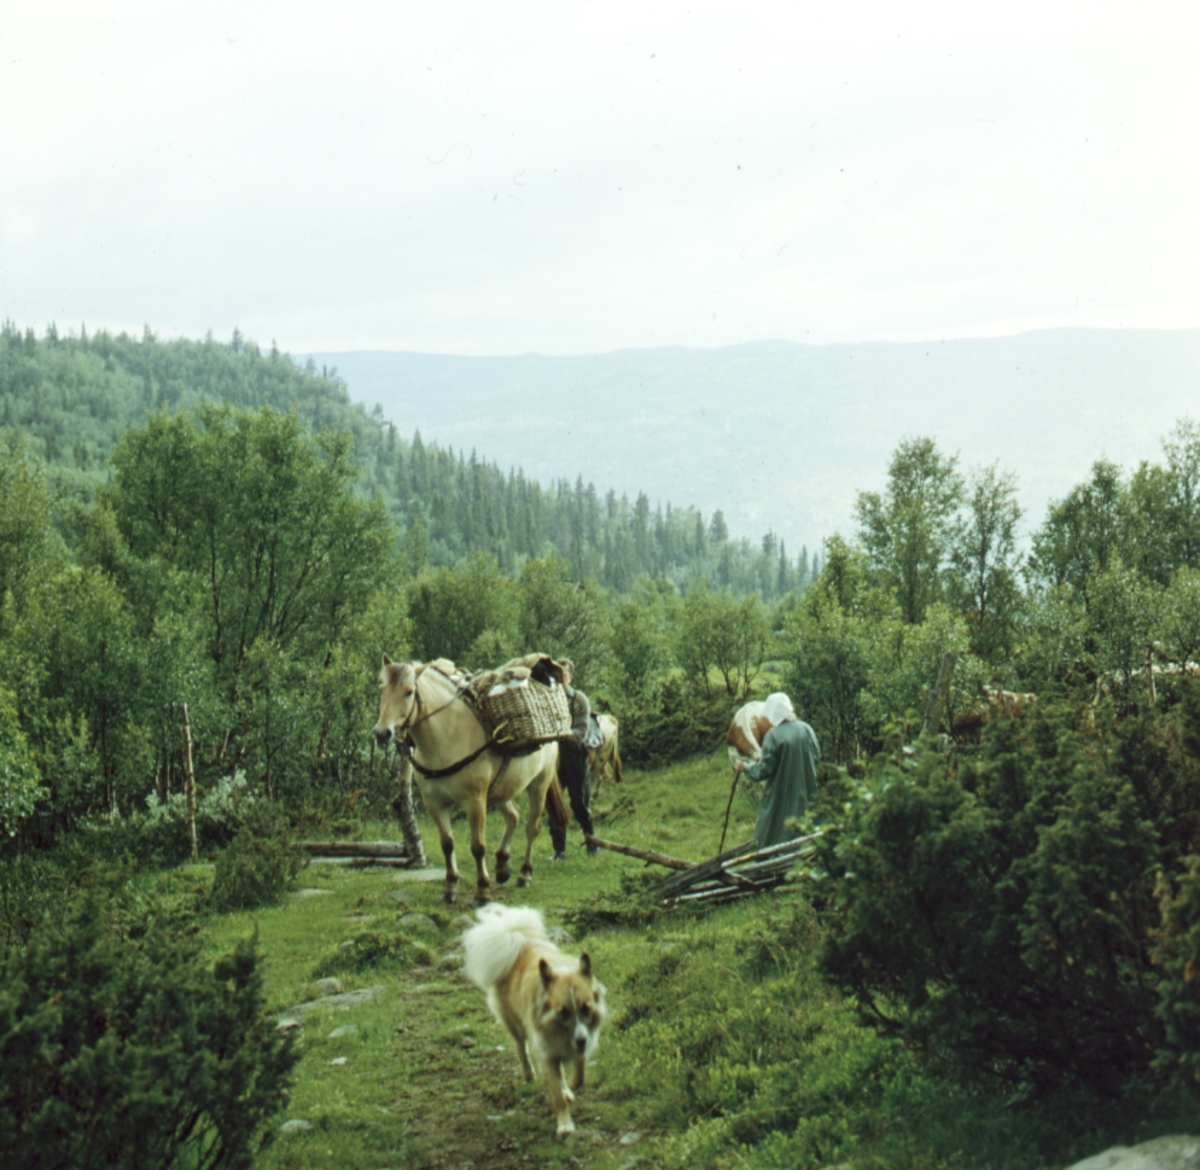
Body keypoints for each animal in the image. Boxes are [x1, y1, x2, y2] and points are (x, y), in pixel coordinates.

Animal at [374, 657, 556, 907]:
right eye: (382, 689)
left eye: (409, 692)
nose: (382, 733)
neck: (448, 737)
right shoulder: (435, 804)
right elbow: (447, 844)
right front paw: (450, 886)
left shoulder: (475, 802)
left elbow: (478, 847)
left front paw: (482, 891)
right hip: (500, 791)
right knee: (513, 816)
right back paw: (502, 866)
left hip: (539, 785)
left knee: (532, 827)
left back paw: (524, 874)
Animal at [460, 907, 604, 1132]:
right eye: (563, 1012)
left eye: (586, 1009)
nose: (581, 1040)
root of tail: (517, 941)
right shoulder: (545, 1052)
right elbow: (556, 1093)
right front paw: (565, 1125)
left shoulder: (573, 1049)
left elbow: (579, 1074)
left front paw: (570, 1087)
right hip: (516, 1025)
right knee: (521, 1048)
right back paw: (529, 1074)